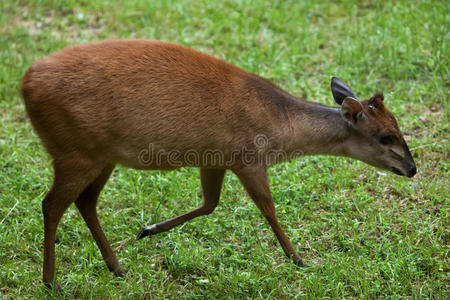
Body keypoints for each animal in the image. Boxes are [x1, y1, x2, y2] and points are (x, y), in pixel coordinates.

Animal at [20, 39, 414, 288]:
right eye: (386, 137)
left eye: (398, 126)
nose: (412, 168)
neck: (283, 124)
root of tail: (25, 84)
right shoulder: (249, 158)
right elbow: (268, 209)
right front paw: (299, 258)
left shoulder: (215, 158)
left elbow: (210, 204)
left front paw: (148, 229)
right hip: (74, 152)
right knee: (51, 204)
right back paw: (51, 281)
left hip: (101, 156)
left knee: (85, 202)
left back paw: (116, 267)